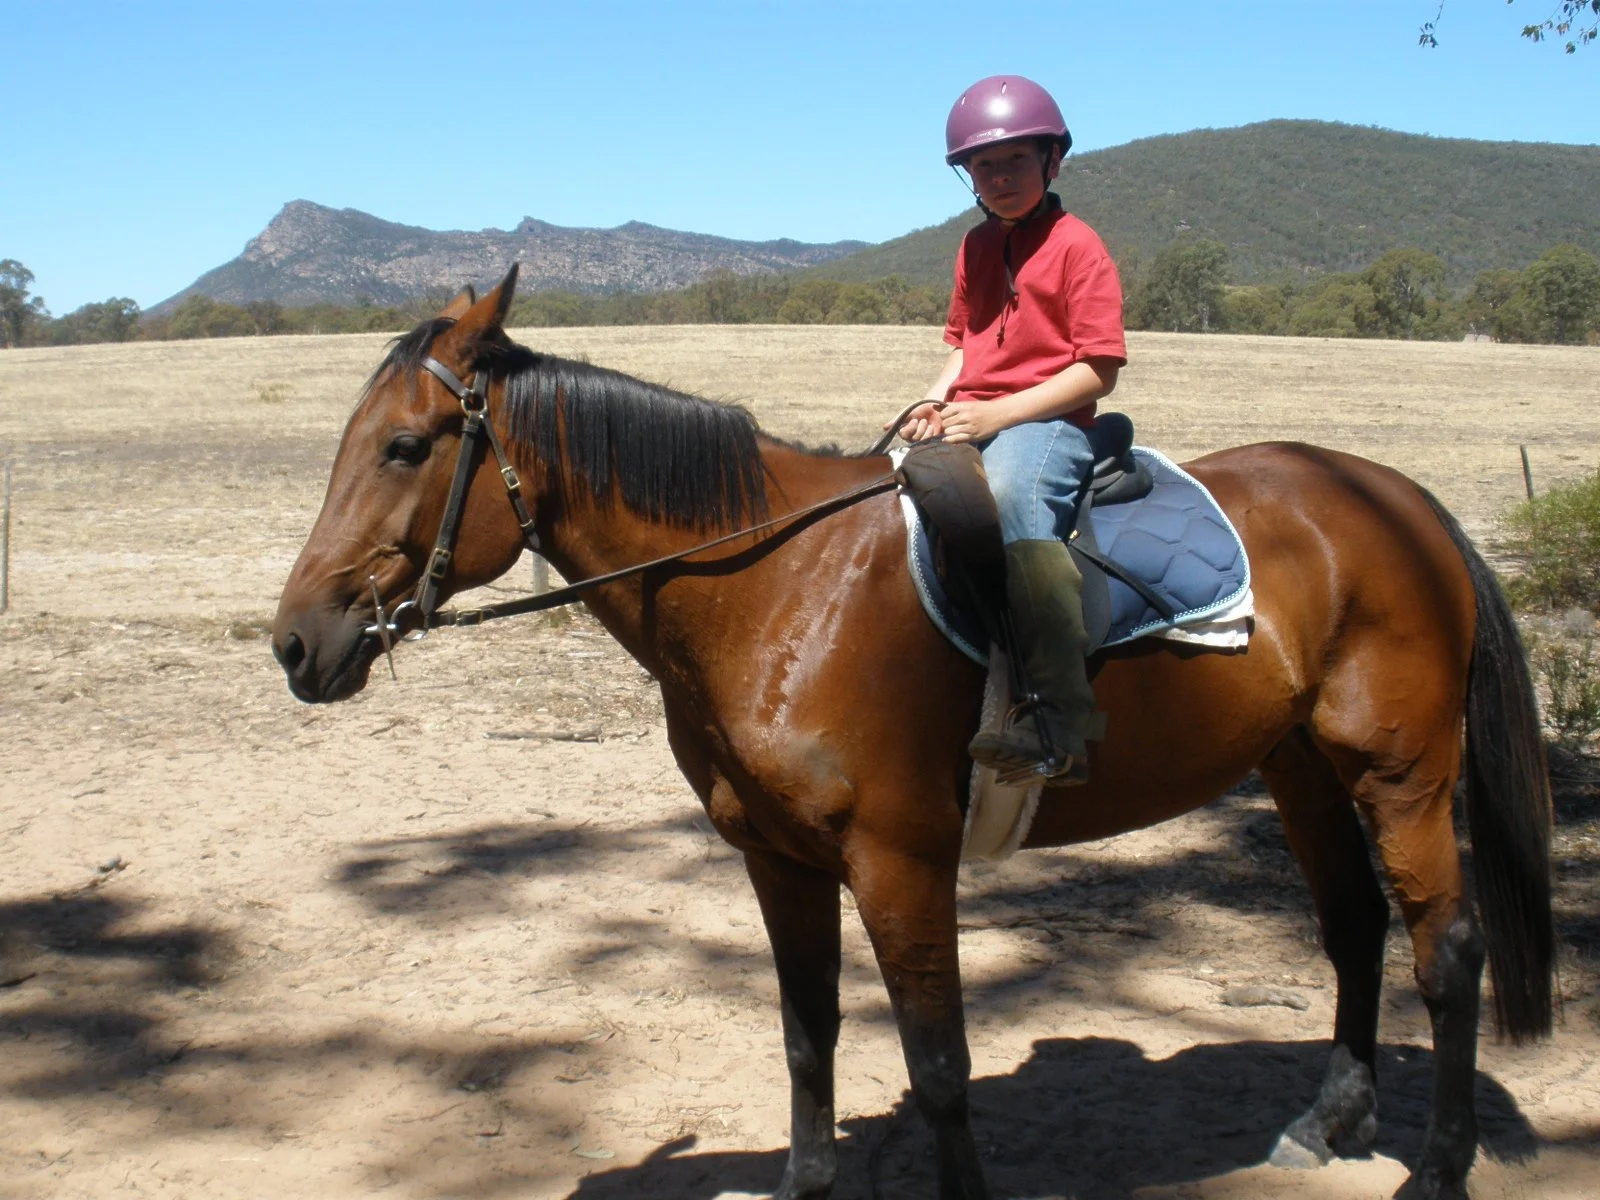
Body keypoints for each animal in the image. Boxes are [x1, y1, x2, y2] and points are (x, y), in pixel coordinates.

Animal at [272, 267, 1553, 1200]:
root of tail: (1400, 501)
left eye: (404, 447)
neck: (772, 585)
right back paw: (1327, 1124)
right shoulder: (779, 860)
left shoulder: (899, 860)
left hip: (1400, 772)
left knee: (1445, 952)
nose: (295, 642)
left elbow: (937, 1067)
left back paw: (1436, 1171)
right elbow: (808, 1038)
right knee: (1352, 933)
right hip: (1298, 768)